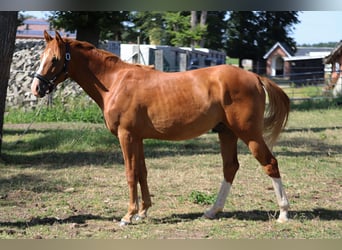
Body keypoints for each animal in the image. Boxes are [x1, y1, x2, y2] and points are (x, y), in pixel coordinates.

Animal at [31, 30, 292, 225]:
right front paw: (143, 211)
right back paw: (211, 211)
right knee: (230, 167)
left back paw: (283, 213)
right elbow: (142, 172)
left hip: (249, 134)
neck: (115, 82)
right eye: (42, 57)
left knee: (270, 163)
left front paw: (128, 215)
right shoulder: (138, 138)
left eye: (54, 59)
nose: (36, 88)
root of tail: (255, 77)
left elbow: (130, 173)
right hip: (227, 133)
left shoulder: (126, 136)